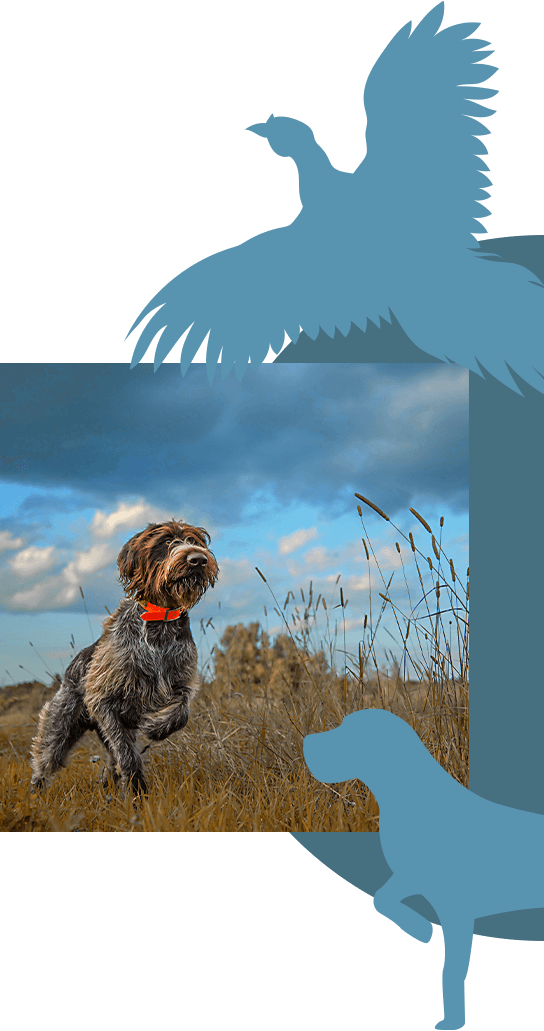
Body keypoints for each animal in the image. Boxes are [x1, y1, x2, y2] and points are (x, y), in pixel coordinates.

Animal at [30, 523, 217, 795]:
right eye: (167, 541)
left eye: (196, 542)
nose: (198, 559)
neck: (160, 621)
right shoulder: (103, 701)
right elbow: (126, 753)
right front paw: (137, 789)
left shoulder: (181, 680)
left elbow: (181, 711)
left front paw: (155, 725)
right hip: (61, 724)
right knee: (45, 759)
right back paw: (37, 793)